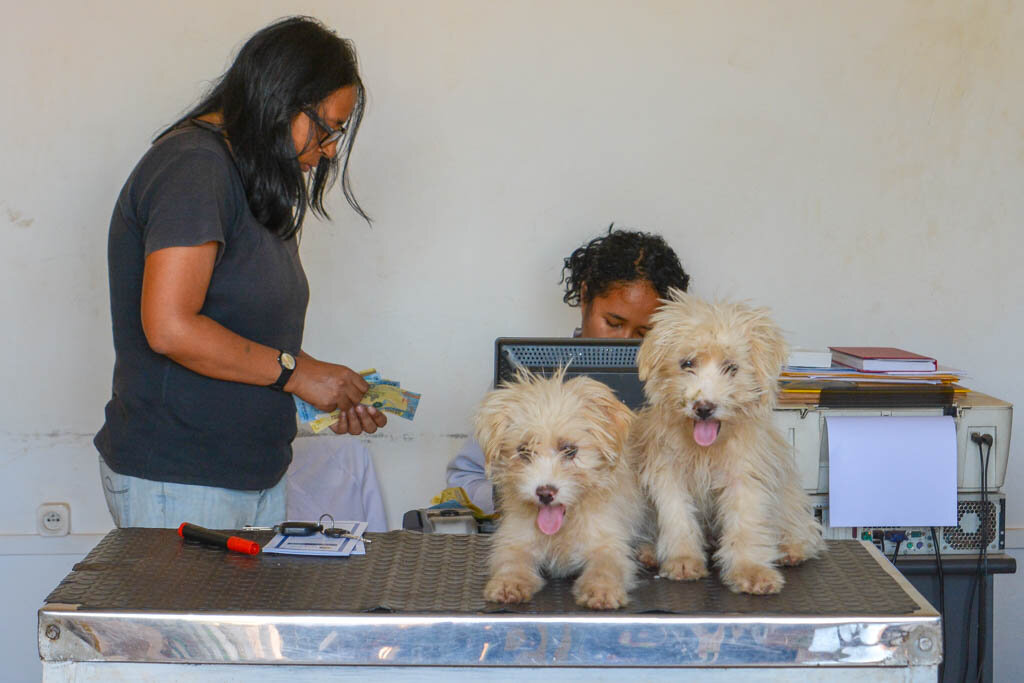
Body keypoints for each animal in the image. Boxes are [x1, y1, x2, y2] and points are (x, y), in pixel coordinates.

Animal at [477, 370, 638, 610]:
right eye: (524, 451)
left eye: (569, 450)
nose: (545, 493)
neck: (562, 529)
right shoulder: (514, 541)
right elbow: (511, 563)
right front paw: (508, 583)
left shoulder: (609, 544)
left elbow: (605, 568)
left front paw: (602, 590)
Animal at [630, 290, 823, 593]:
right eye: (687, 363)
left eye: (731, 367)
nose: (703, 407)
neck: (707, 450)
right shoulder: (669, 475)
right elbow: (678, 518)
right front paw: (683, 561)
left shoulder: (745, 476)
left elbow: (745, 524)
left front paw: (751, 571)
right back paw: (649, 552)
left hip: (788, 498)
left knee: (799, 527)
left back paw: (791, 548)